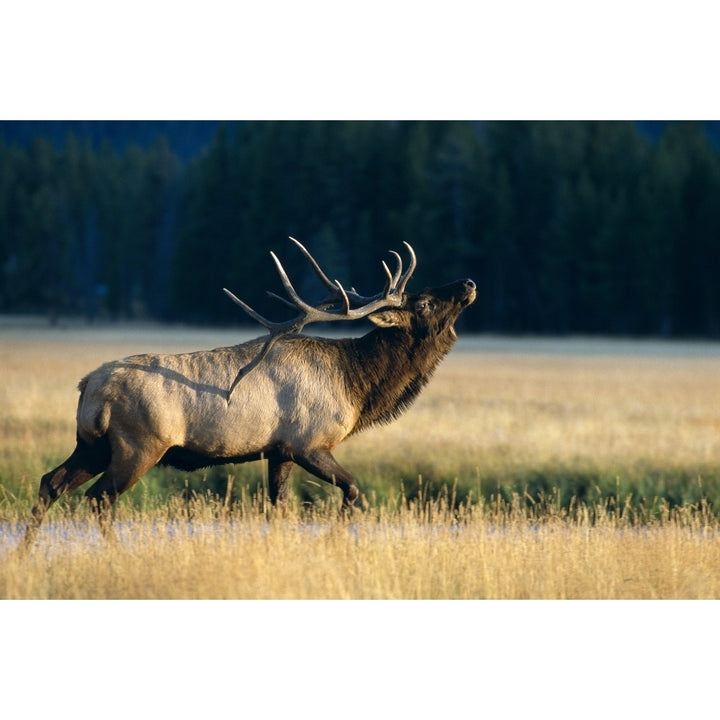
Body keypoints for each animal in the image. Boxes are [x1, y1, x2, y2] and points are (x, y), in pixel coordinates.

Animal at [22, 238, 476, 544]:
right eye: (423, 304)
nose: (469, 282)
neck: (357, 385)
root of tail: (89, 387)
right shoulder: (309, 443)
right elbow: (351, 489)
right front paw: (332, 542)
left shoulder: (279, 451)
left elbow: (278, 509)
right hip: (138, 446)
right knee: (99, 499)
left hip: (92, 444)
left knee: (51, 482)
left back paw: (25, 553)